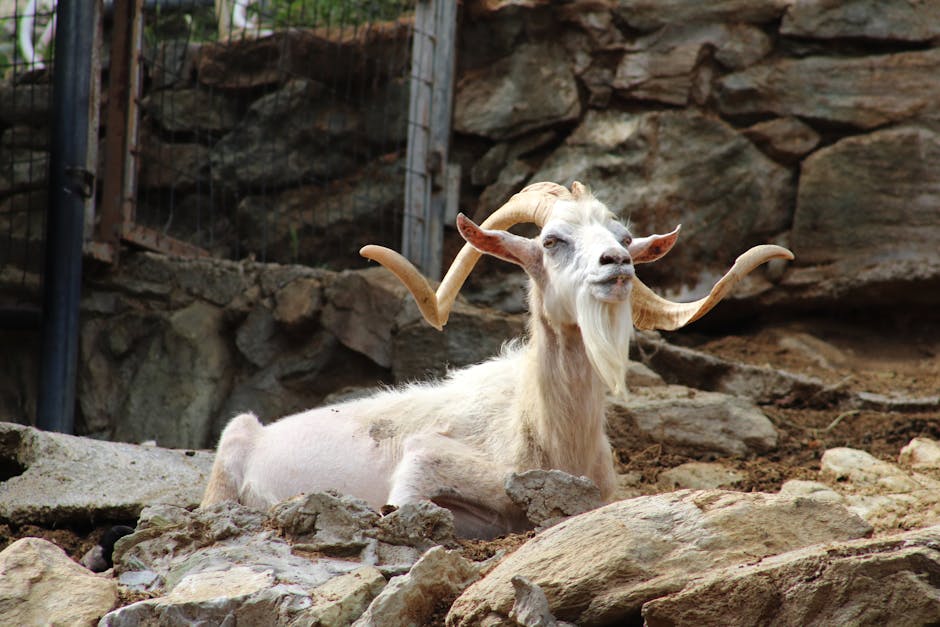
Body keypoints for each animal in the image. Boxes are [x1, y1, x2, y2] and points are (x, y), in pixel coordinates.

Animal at [202, 181, 792, 538]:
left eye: (625, 238)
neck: (545, 433)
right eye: (552, 240)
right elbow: (409, 493)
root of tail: (258, 429)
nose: (617, 263)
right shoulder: (427, 461)